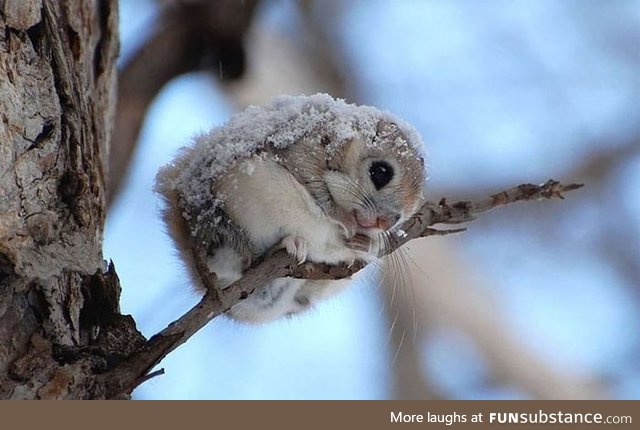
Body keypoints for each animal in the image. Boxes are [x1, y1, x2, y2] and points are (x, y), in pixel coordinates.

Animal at [154, 94, 424, 322]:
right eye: (380, 172)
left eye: (404, 215)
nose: (385, 222)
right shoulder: (302, 151)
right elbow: (318, 190)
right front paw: (344, 221)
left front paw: (368, 243)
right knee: (242, 262)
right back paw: (287, 245)